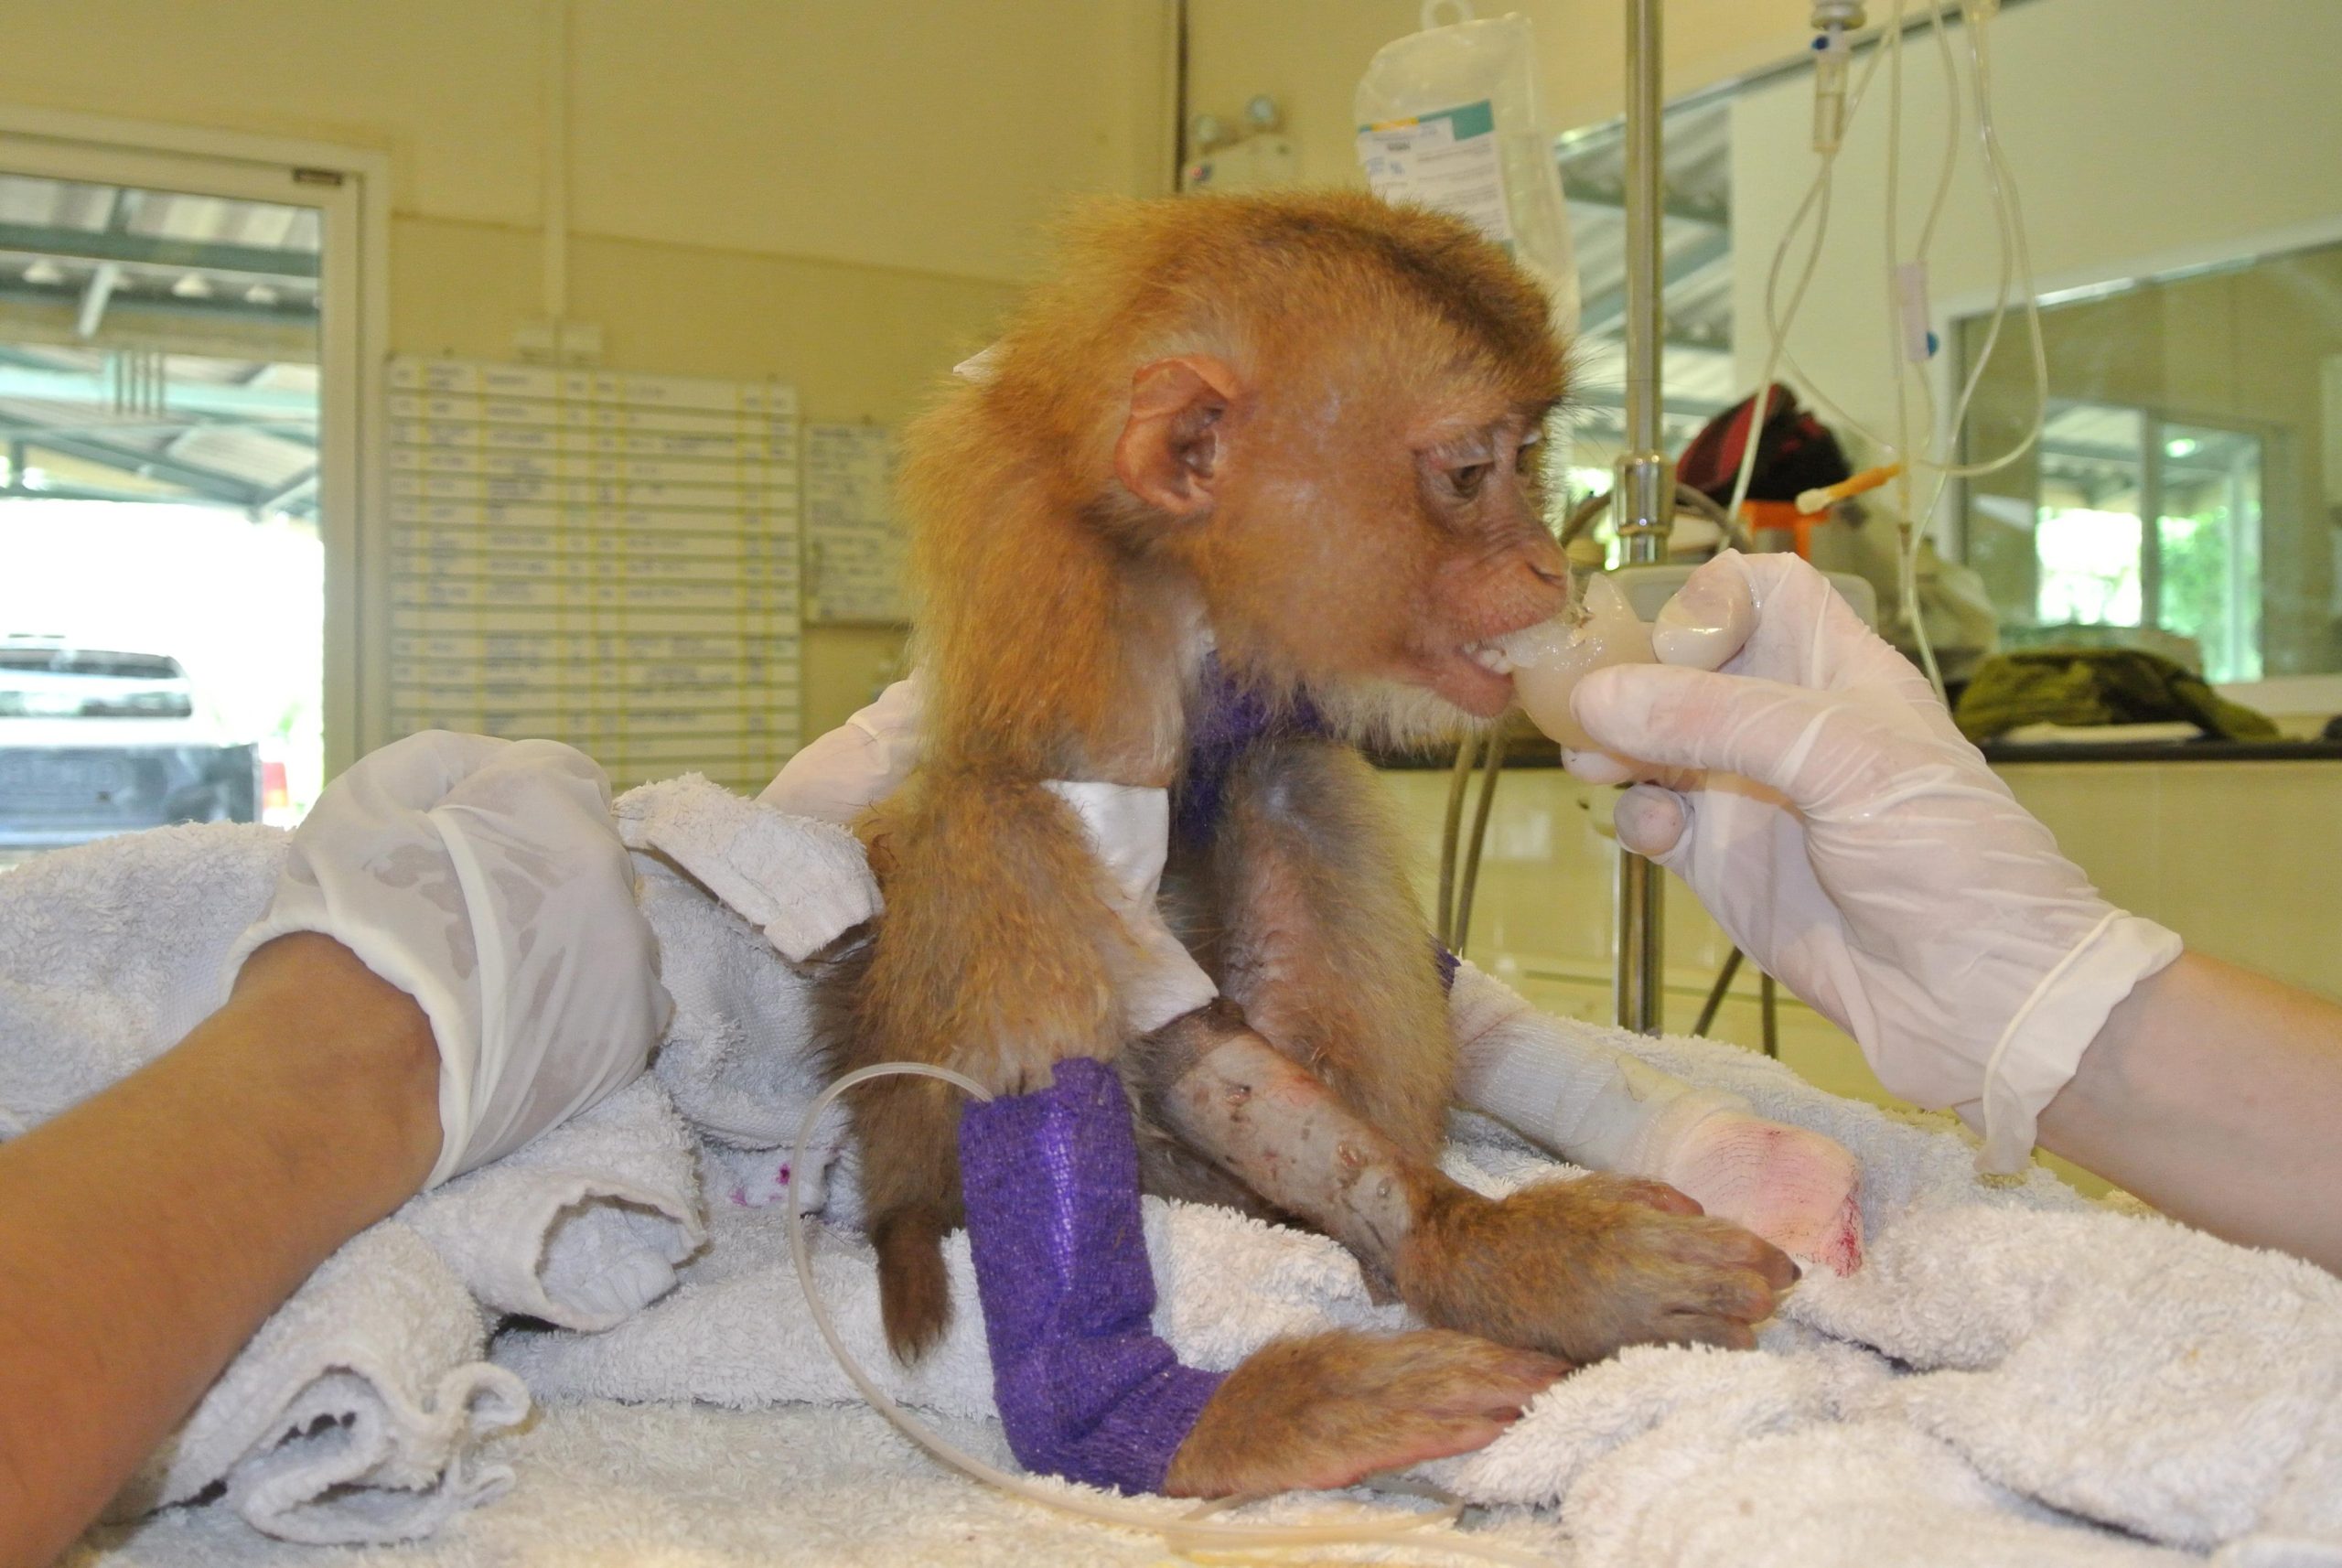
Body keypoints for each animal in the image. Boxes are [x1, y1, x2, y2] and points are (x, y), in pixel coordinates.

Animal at [825, 189, 1796, 1495]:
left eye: (1526, 462)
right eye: (1469, 472)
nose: (1549, 563)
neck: (1192, 589)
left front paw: (1493, 1234)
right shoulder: (1069, 615)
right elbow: (1156, 1002)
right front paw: (1492, 1259)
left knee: (1288, 779)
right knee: (994, 832)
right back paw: (1135, 1413)